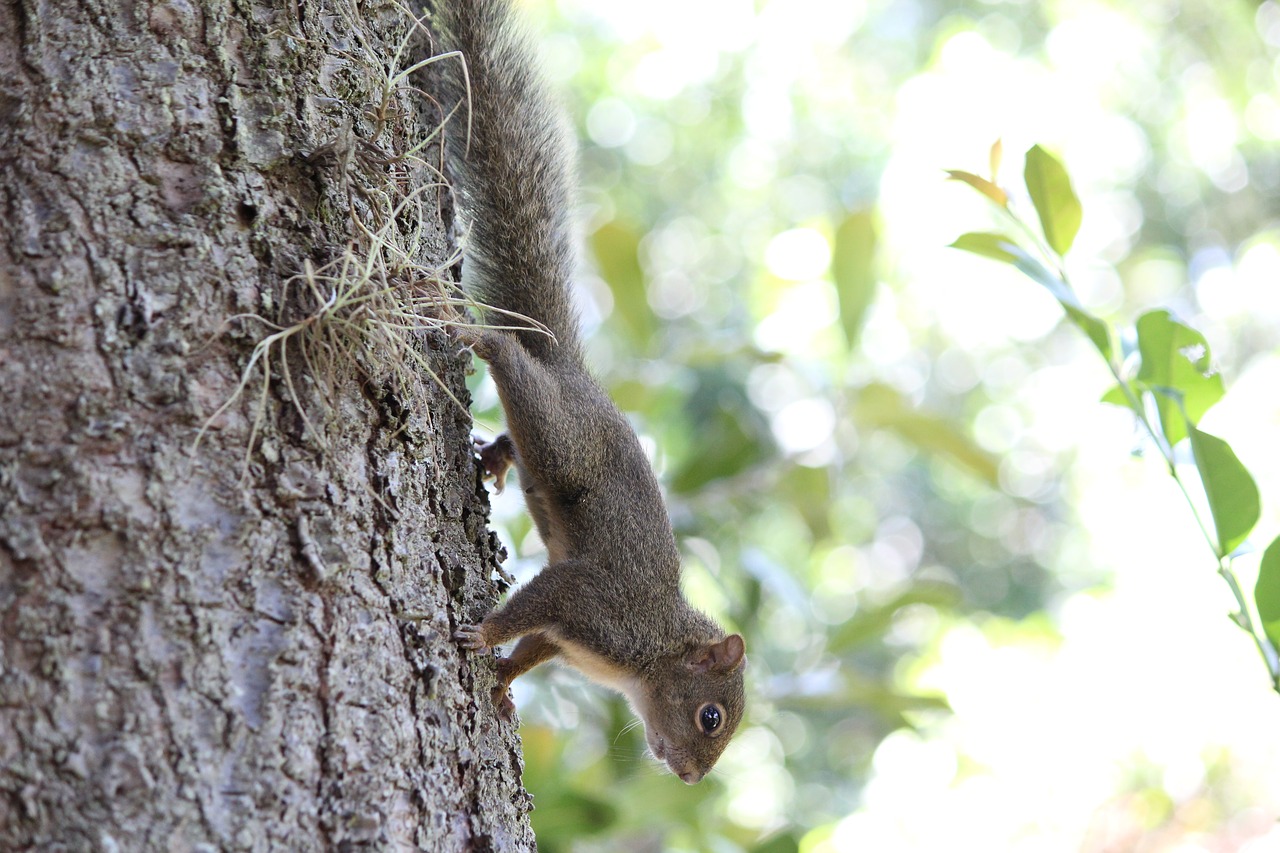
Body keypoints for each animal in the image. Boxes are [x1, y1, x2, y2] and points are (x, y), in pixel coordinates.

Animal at [427, 0, 747, 783]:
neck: (650, 654)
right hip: (562, 430)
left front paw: (502, 678)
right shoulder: (593, 604)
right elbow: (535, 602)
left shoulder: (569, 636)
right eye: (711, 715)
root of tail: (569, 366)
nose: (691, 777)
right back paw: (474, 334)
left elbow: (534, 647)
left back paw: (497, 458)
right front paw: (482, 633)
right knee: (510, 357)